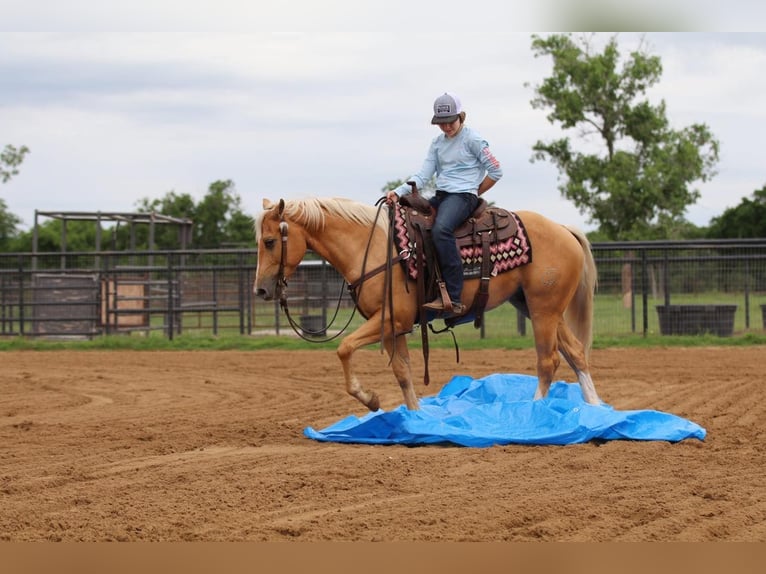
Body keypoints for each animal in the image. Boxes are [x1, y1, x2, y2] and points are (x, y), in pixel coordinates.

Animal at [255, 198, 604, 414]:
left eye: (270, 241)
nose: (260, 289)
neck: (376, 249)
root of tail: (564, 229)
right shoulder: (393, 329)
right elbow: (403, 372)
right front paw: (414, 416)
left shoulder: (390, 320)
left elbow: (344, 348)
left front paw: (370, 399)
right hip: (539, 307)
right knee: (575, 353)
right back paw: (594, 410)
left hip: (544, 310)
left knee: (548, 361)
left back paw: (533, 412)